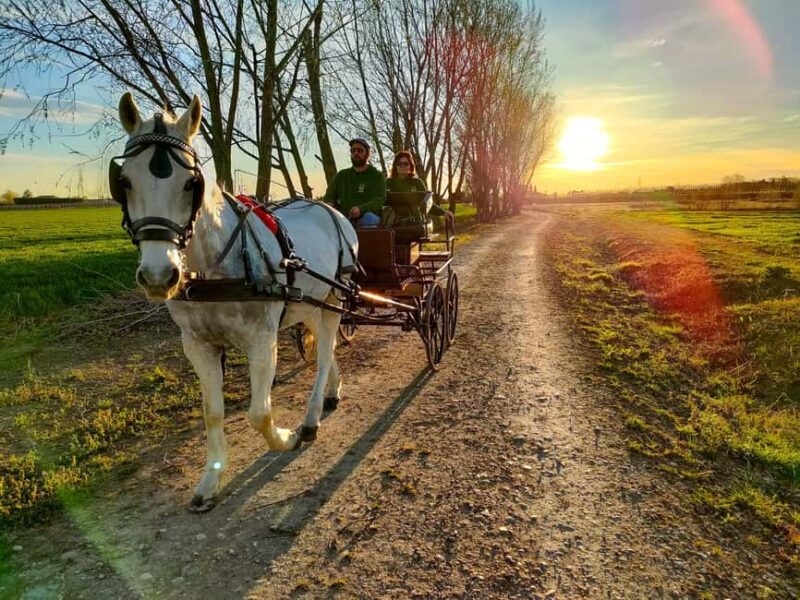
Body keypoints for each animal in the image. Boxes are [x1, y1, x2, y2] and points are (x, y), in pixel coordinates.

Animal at [110, 92, 358, 511]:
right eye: (124, 181)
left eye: (191, 183)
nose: (159, 276)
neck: (215, 268)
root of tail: (332, 209)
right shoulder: (198, 345)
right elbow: (213, 412)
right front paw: (211, 480)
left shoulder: (262, 340)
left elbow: (260, 413)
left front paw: (287, 437)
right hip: (309, 303)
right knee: (327, 348)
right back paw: (332, 391)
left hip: (335, 295)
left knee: (325, 353)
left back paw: (310, 419)